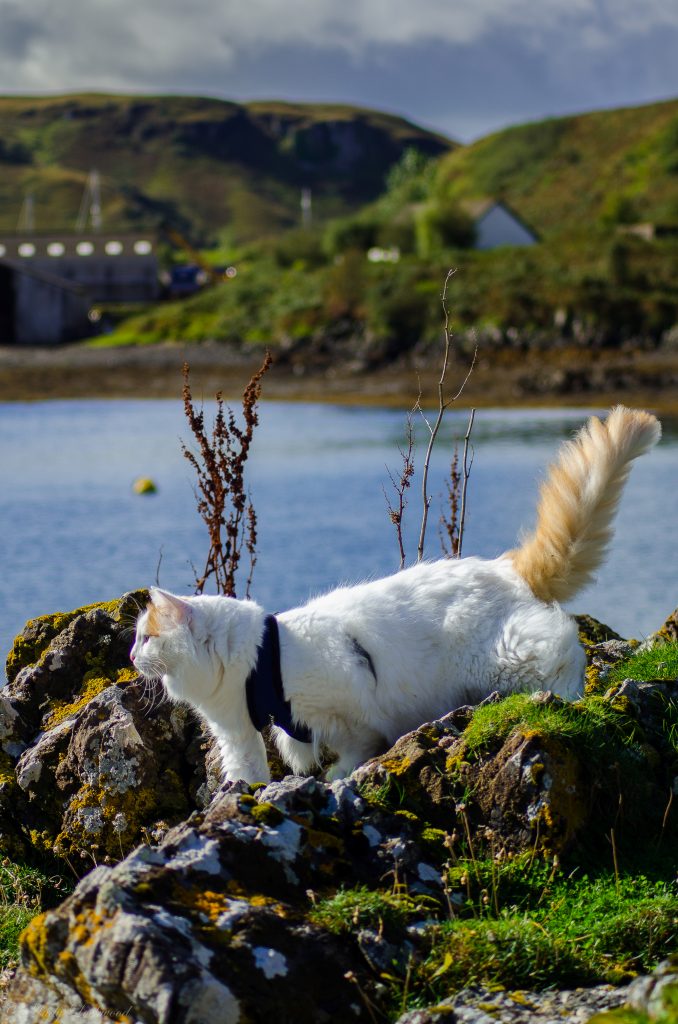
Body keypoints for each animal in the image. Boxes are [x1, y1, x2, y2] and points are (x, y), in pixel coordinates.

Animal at [133, 405, 663, 782]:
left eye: (146, 637)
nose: (131, 654)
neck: (257, 663)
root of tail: (505, 566)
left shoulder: (352, 703)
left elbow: (355, 747)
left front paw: (341, 776)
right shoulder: (238, 732)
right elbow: (247, 770)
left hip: (509, 655)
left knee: (565, 650)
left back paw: (565, 699)